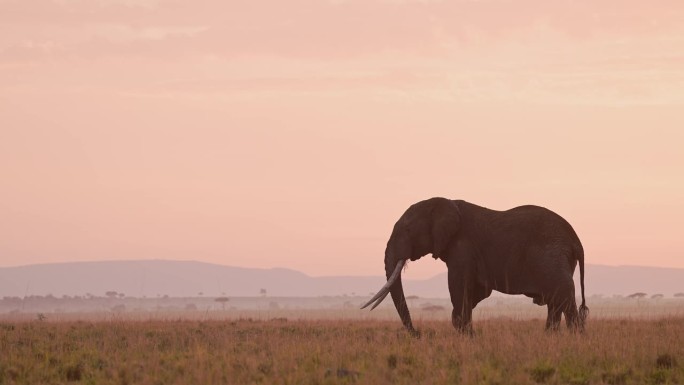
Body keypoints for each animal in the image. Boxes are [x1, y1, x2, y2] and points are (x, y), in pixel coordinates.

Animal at [360, 196, 592, 334]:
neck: (445, 202)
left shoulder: (462, 247)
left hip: (552, 257)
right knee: (555, 303)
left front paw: (465, 336)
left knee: (564, 299)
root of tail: (577, 241)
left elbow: (458, 286)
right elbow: (476, 292)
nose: (418, 334)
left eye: (408, 230)